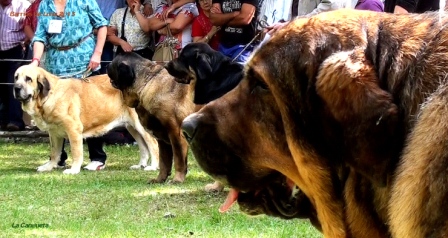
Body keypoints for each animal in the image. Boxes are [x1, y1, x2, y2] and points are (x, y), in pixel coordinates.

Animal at [13, 65, 159, 175]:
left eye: (28, 79)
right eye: (16, 77)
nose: (16, 88)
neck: (48, 96)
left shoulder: (73, 129)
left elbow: (76, 152)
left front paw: (73, 170)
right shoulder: (54, 133)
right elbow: (54, 152)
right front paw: (48, 166)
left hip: (140, 126)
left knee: (153, 144)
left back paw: (152, 166)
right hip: (132, 127)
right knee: (143, 147)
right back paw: (140, 165)